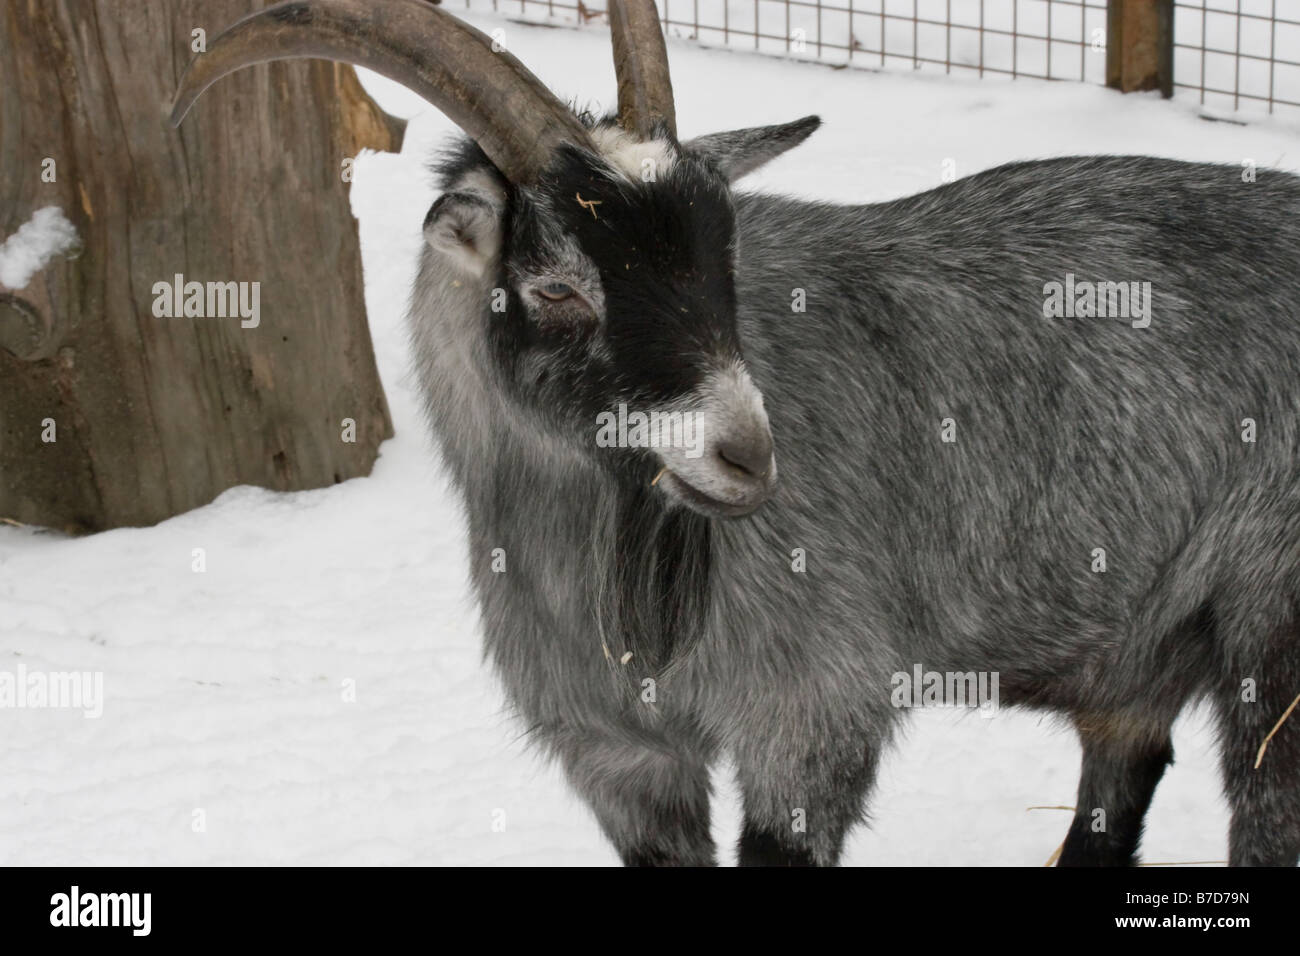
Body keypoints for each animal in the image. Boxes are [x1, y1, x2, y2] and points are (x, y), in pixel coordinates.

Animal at [172, 0, 1300, 868]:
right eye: (555, 288)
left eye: (723, 254)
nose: (745, 454)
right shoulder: (620, 757)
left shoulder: (809, 713)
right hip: (1140, 654)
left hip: (1272, 631)